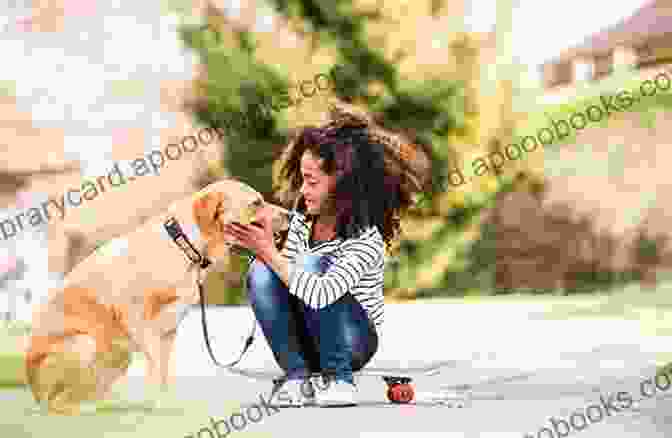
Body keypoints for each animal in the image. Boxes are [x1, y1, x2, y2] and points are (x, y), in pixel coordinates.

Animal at [23, 178, 290, 414]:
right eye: (256, 203)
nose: (289, 215)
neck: (184, 246)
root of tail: (33, 391)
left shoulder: (168, 331)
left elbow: (163, 371)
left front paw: (162, 403)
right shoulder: (138, 321)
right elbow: (155, 368)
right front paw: (160, 404)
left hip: (118, 357)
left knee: (79, 394)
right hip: (85, 344)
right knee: (56, 402)